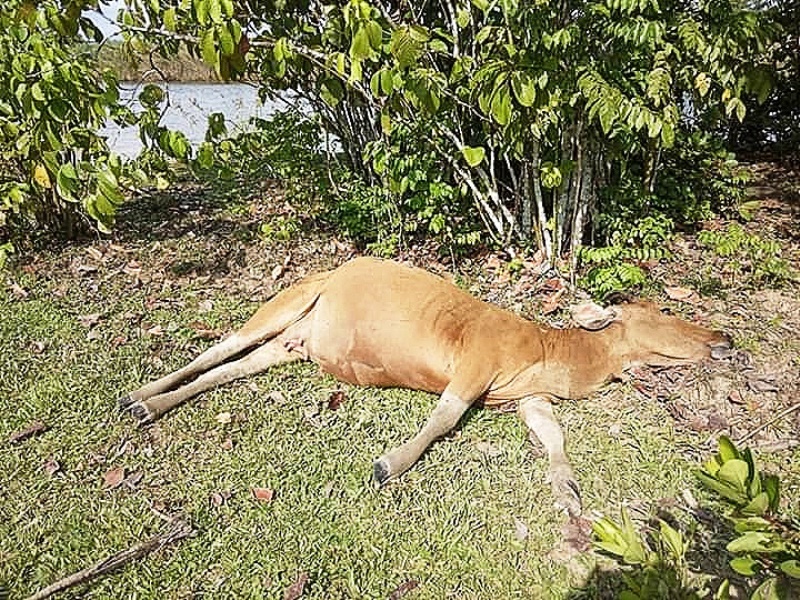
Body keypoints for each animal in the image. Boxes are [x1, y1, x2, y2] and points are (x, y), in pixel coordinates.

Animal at [120, 258, 732, 516]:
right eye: (664, 313)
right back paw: (141, 395)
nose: (723, 337)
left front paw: (566, 489)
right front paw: (390, 463)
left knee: (232, 367)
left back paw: (153, 405)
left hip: (293, 343)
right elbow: (445, 418)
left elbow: (554, 436)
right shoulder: (477, 362)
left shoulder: (529, 398)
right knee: (218, 347)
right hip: (291, 297)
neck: (550, 354)